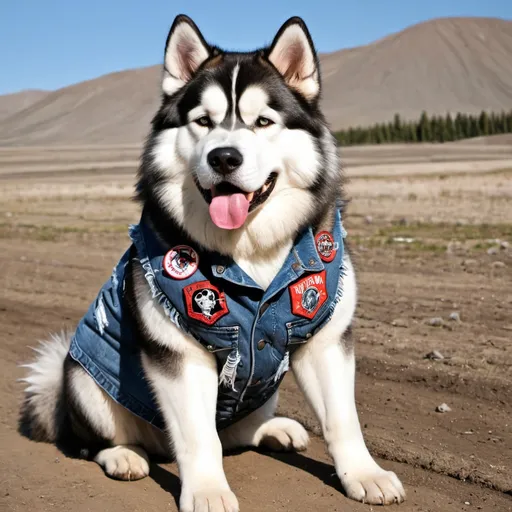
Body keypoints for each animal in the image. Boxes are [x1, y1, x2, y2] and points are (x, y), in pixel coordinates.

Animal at [19, 14, 404, 510]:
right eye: (202, 121)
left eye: (264, 121)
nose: (224, 157)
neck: (251, 252)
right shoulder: (179, 354)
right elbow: (200, 437)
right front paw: (206, 491)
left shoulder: (326, 340)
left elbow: (343, 419)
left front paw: (363, 474)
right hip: (80, 379)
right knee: (97, 442)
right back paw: (124, 456)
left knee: (236, 433)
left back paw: (275, 430)